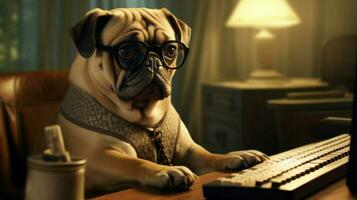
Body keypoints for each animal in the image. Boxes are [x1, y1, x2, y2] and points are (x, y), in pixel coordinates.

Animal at [57, 7, 268, 192]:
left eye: (171, 50)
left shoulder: (189, 150)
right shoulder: (99, 157)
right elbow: (135, 162)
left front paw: (235, 155)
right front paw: (165, 171)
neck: (147, 120)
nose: (153, 61)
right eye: (126, 51)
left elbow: (210, 155)